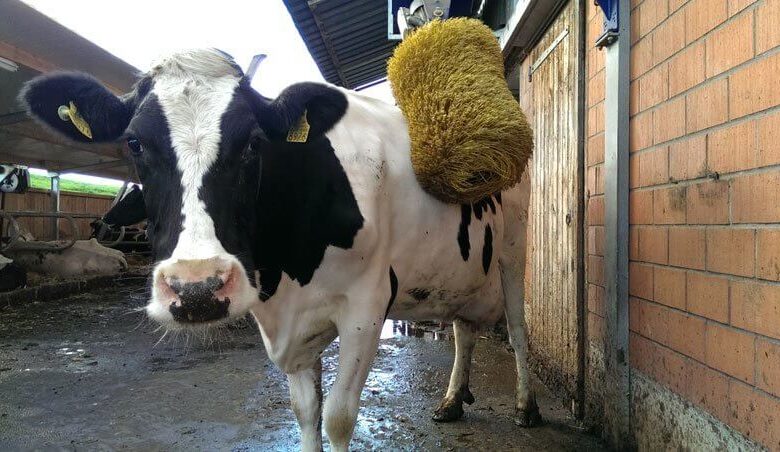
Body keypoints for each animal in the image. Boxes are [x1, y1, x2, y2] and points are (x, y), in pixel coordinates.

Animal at [20, 49, 538, 451]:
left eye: (253, 143)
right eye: (134, 143)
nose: (197, 288)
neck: (285, 274)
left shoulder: (366, 307)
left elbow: (338, 418)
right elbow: (306, 412)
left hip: (514, 252)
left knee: (517, 330)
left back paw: (526, 407)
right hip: (463, 269)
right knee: (464, 331)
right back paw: (452, 400)